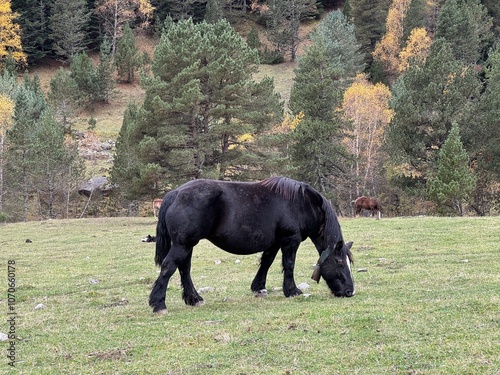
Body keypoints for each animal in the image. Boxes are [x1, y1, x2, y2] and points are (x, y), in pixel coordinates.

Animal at [148, 176, 356, 314]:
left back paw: (194, 299)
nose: (349, 291)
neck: (302, 203)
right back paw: (159, 304)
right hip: (182, 245)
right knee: (169, 267)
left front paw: (259, 288)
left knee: (184, 269)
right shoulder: (290, 240)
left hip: (187, 245)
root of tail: (175, 193)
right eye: (339, 262)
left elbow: (266, 262)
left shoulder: (275, 242)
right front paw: (292, 291)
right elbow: (289, 265)